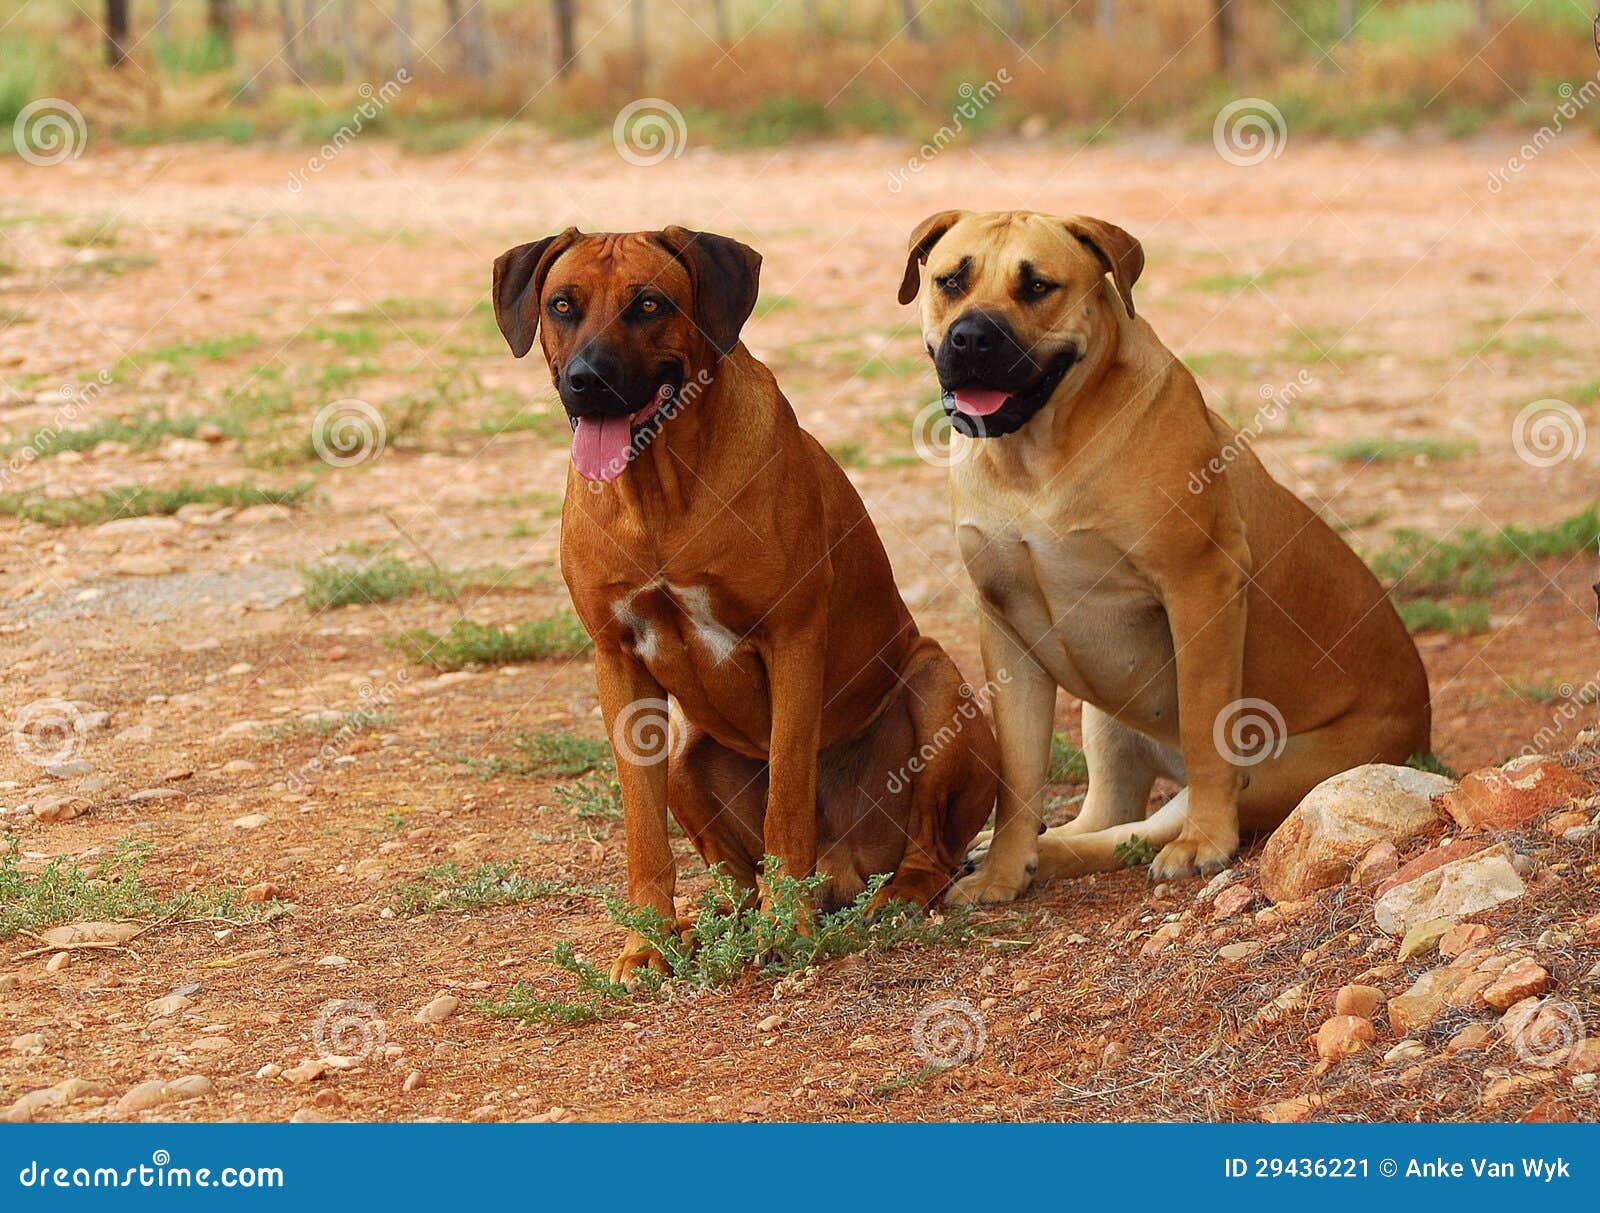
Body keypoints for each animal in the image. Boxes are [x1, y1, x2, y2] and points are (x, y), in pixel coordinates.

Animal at [492, 230, 998, 985]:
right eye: (562, 304)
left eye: (650, 304)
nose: (587, 379)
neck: (660, 488)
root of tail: (843, 868)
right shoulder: (617, 662)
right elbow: (644, 835)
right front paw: (646, 942)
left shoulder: (792, 639)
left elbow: (785, 801)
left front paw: (787, 930)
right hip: (683, 746)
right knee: (736, 878)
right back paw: (711, 920)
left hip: (935, 683)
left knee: (928, 851)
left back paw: (890, 897)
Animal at [896, 209, 1433, 902]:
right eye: (951, 281)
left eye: (1038, 286)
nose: (971, 337)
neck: (1035, 458)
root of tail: (1421, 724)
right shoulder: (1006, 628)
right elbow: (1016, 777)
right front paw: (1003, 873)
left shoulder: (1198, 589)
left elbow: (1207, 730)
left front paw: (1206, 841)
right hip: (1104, 722)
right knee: (1105, 815)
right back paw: (1021, 851)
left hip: (1285, 770)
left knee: (1142, 829)